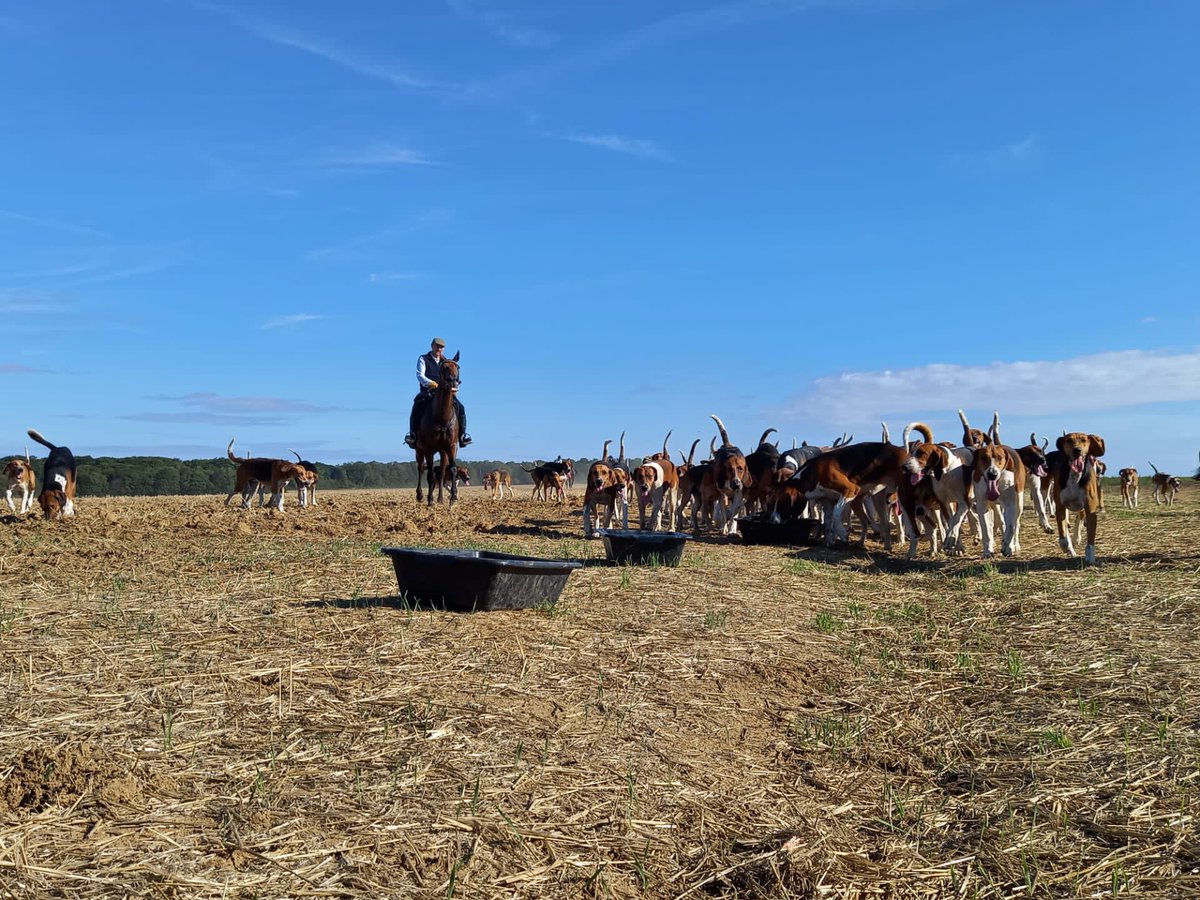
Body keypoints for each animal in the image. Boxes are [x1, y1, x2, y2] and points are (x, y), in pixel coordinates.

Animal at [415, 351, 462, 507]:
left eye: (457, 366)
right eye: (444, 367)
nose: (453, 382)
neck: (441, 417)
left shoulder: (451, 447)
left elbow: (452, 470)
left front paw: (453, 497)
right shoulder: (428, 449)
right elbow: (429, 474)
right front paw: (430, 500)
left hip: (442, 452)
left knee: (440, 474)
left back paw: (440, 499)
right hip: (419, 450)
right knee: (421, 469)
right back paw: (420, 495)